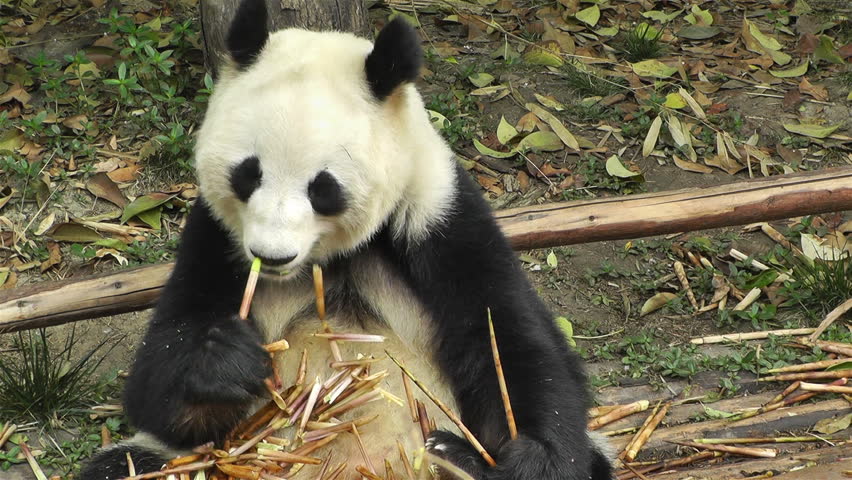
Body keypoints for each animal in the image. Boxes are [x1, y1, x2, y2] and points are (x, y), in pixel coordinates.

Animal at [80, 0, 612, 480]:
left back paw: (459, 456)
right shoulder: (214, 235)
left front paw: (533, 458)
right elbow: (157, 380)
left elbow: (509, 336)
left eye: (323, 188)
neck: (327, 259)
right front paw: (228, 359)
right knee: (127, 464)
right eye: (247, 175)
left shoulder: (437, 213)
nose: (271, 255)